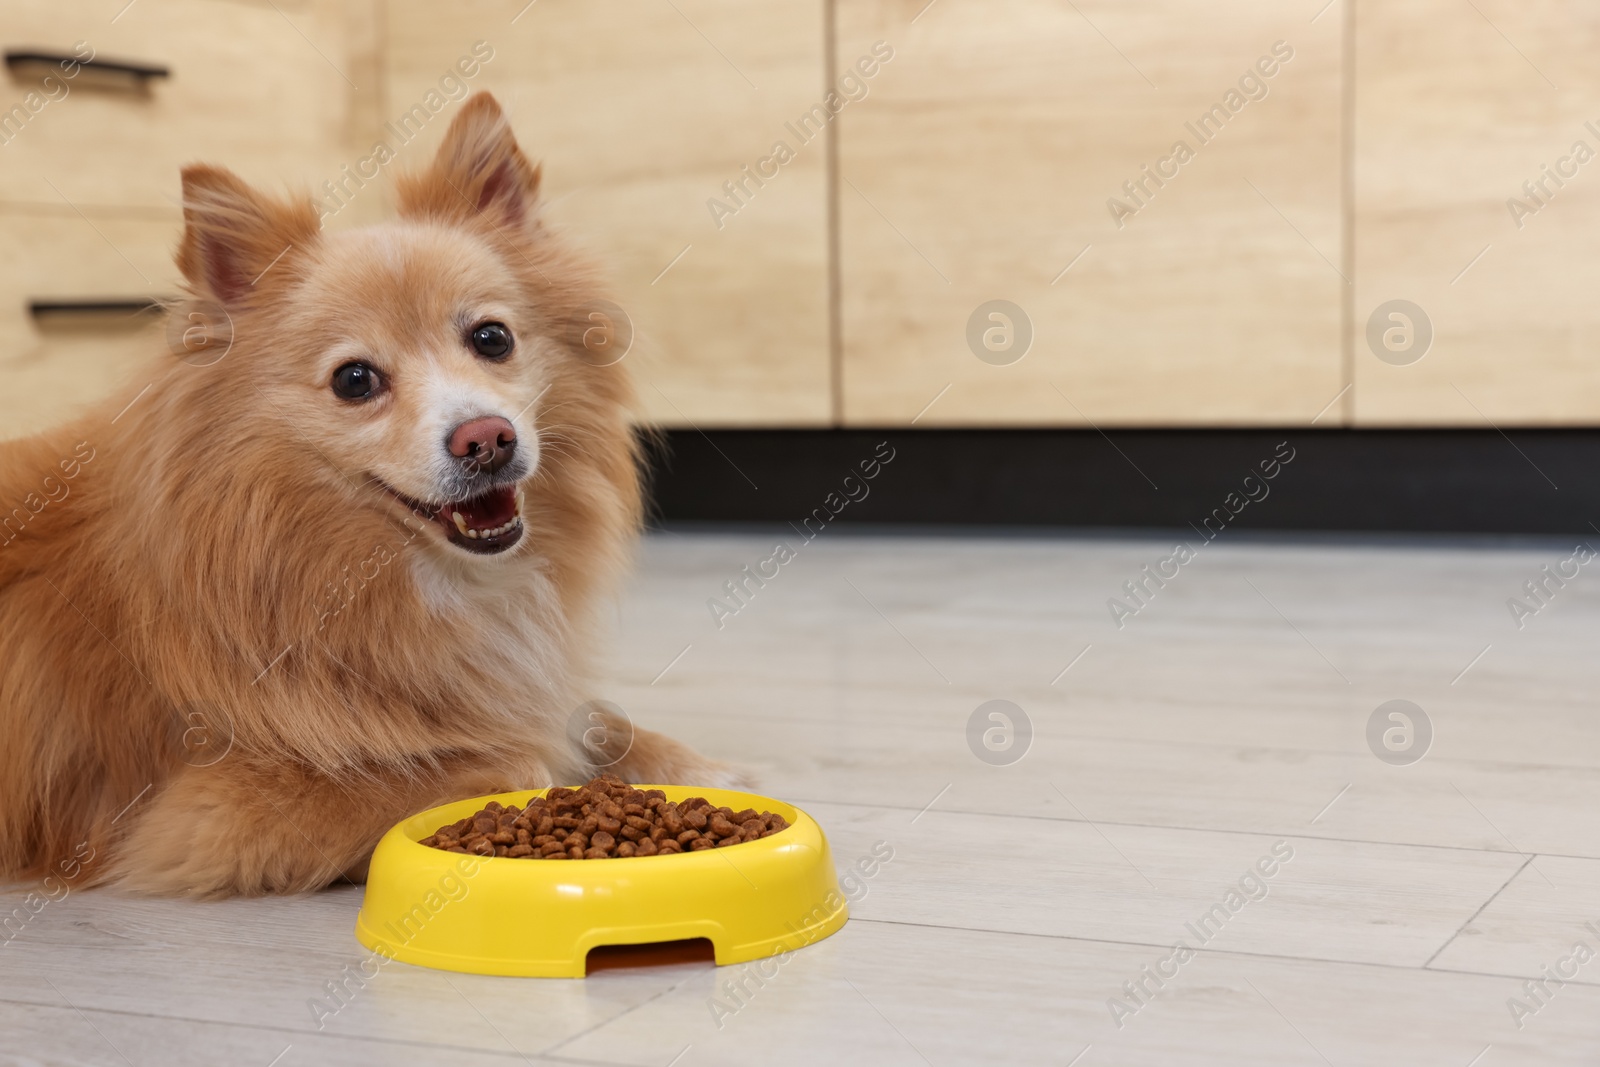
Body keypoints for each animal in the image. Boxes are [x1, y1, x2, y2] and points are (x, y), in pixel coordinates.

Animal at [0, 91, 736, 895]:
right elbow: (513, 756)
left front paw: (685, 762)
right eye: (355, 380)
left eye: (492, 338)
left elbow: (592, 713)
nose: (487, 439)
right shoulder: (206, 812)